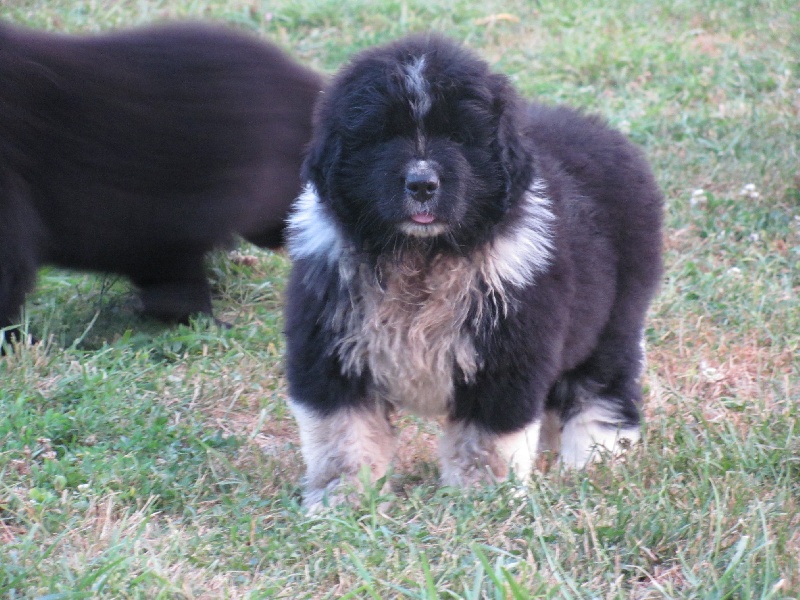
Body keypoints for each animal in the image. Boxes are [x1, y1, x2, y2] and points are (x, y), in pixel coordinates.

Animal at [282, 34, 664, 510]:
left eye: (460, 137)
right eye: (382, 135)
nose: (422, 184)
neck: (422, 256)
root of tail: (605, 134)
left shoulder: (507, 353)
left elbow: (486, 439)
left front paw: (482, 500)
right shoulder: (330, 345)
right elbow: (344, 436)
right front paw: (344, 501)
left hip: (614, 317)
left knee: (602, 387)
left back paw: (594, 457)